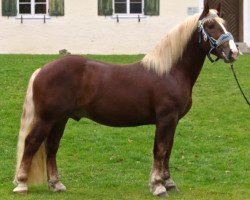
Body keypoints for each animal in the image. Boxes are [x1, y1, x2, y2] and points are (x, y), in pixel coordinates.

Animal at [13, 2, 238, 198]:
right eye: (210, 26)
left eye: (224, 24)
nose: (233, 52)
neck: (170, 72)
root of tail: (43, 69)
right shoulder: (165, 119)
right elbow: (160, 150)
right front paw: (158, 186)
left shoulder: (173, 121)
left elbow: (168, 150)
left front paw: (169, 182)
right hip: (47, 119)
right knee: (31, 143)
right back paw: (22, 184)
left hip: (60, 119)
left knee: (51, 147)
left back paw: (56, 184)